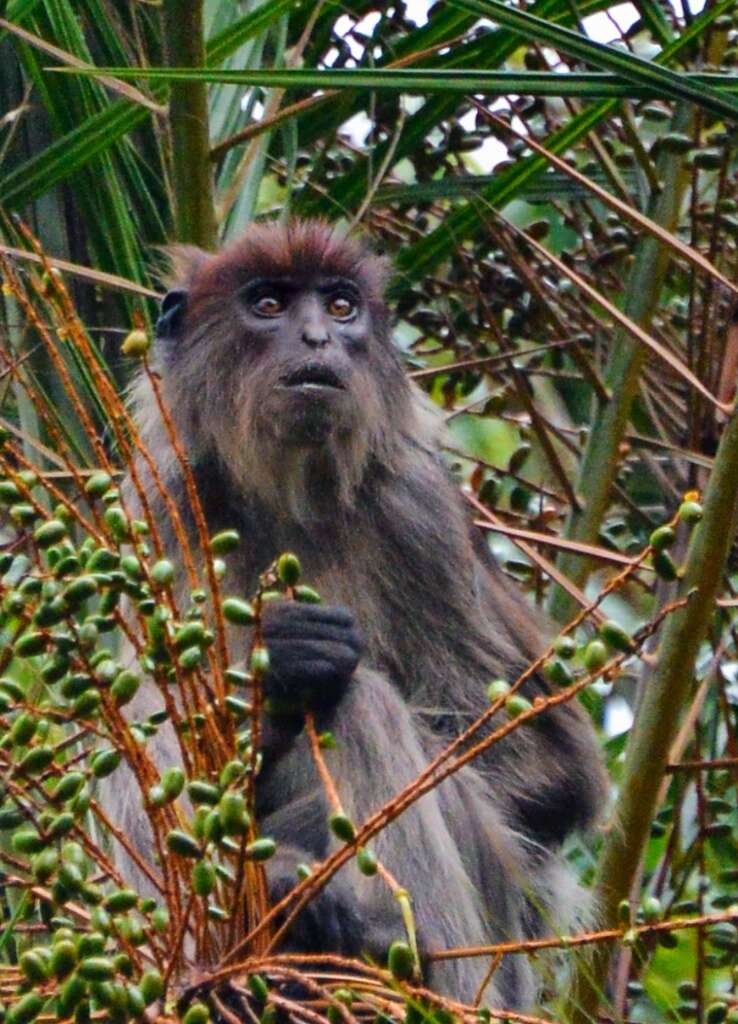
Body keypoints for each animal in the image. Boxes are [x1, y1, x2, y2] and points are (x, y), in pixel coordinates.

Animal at [109, 220, 605, 1011]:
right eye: (270, 303)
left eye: (341, 307)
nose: (319, 338)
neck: (289, 497)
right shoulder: (160, 505)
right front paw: (277, 674)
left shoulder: (418, 506)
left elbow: (552, 770)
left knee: (363, 700)